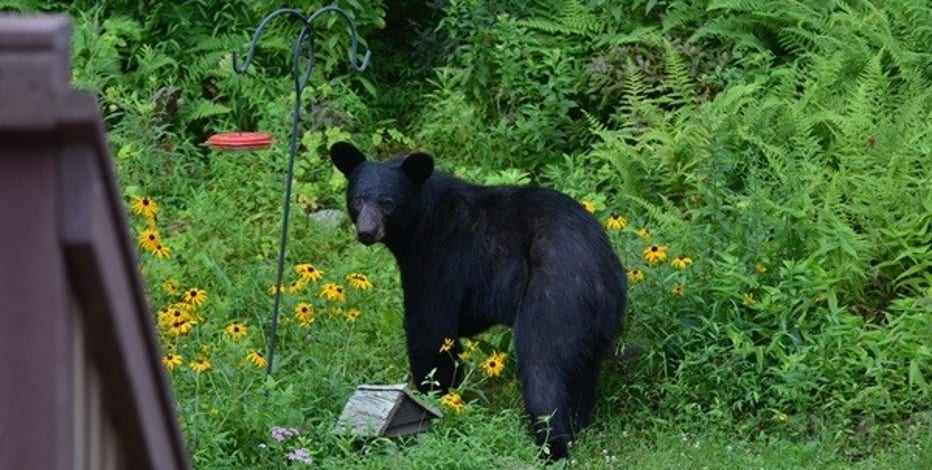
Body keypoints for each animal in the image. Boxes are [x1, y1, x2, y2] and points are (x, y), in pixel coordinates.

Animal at [330, 141, 627, 460]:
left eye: (388, 203)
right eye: (358, 200)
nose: (366, 232)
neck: (421, 224)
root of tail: (599, 274)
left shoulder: (440, 260)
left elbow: (430, 329)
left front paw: (435, 395)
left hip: (554, 297)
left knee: (543, 367)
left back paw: (551, 445)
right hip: (597, 326)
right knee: (583, 374)